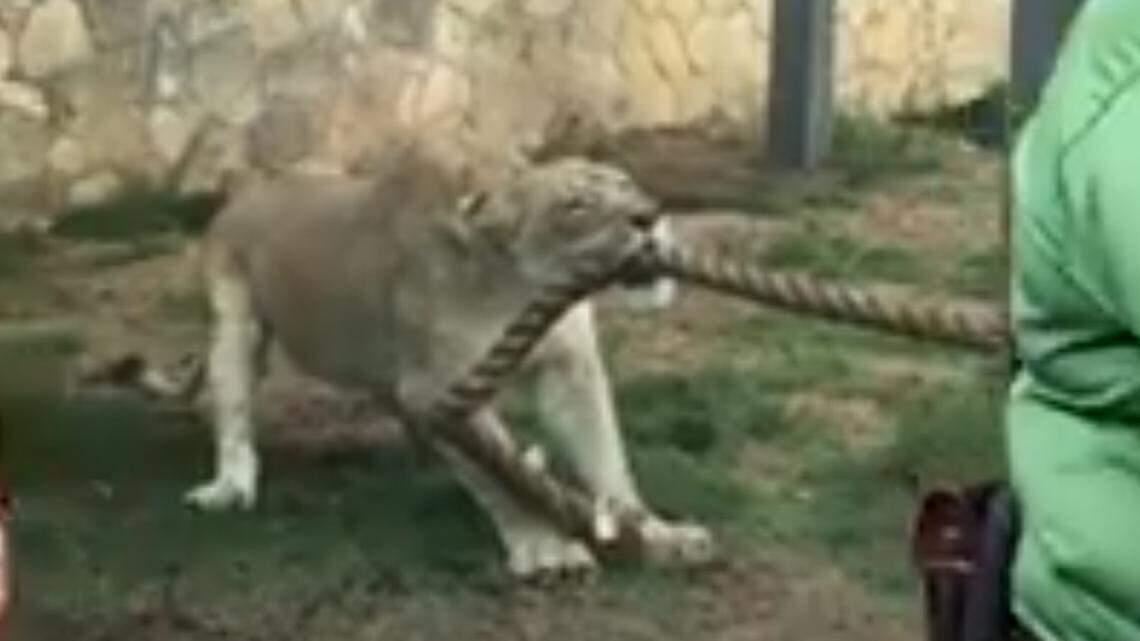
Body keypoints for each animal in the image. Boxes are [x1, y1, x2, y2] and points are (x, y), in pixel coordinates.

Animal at [183, 140, 711, 578]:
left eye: (627, 185)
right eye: (575, 206)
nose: (650, 214)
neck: (518, 289)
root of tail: (247, 188)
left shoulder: (571, 371)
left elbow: (608, 462)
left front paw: (662, 535)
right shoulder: (439, 389)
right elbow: (500, 479)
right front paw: (548, 550)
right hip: (234, 327)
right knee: (234, 417)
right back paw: (229, 489)